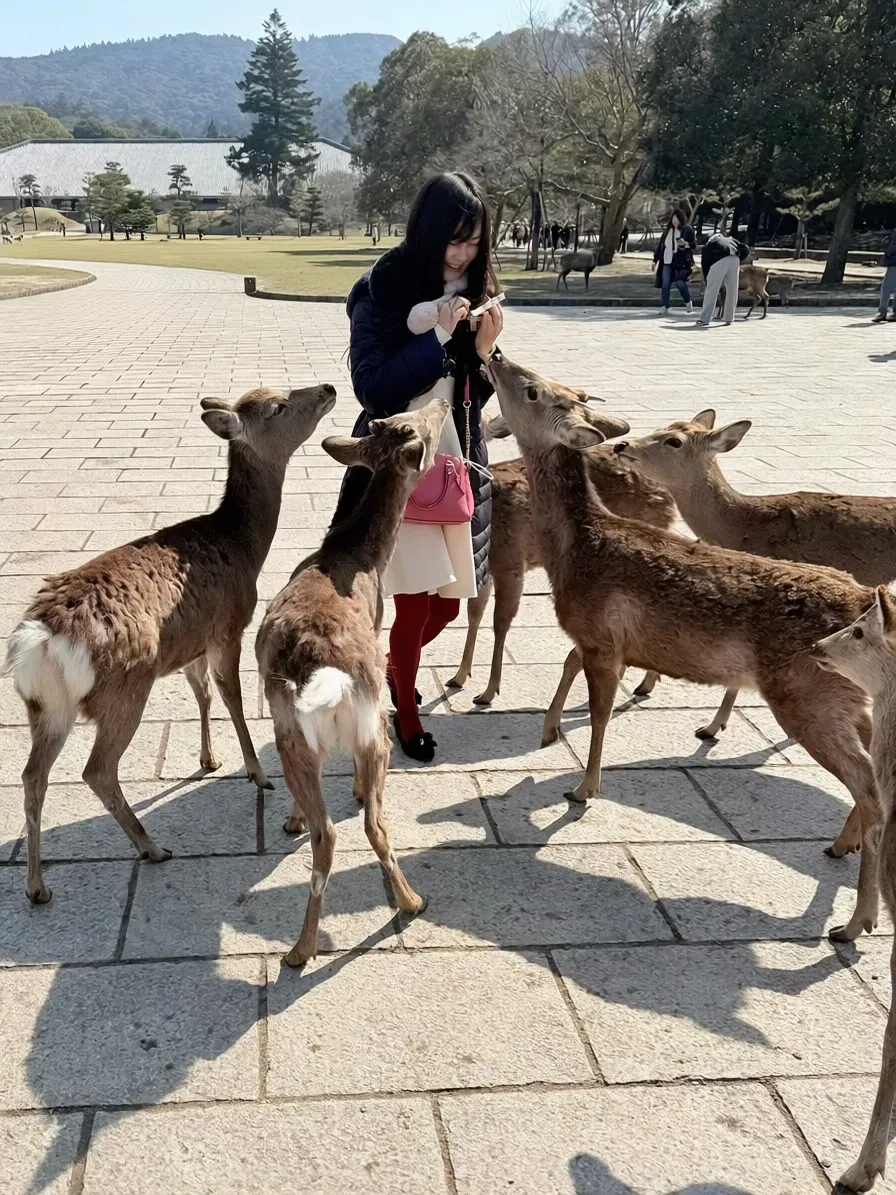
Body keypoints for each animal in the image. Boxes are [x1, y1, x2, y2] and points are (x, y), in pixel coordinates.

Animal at [3, 383, 337, 906]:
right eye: (278, 406)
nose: (328, 388)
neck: (246, 547)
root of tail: (38, 640)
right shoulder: (228, 627)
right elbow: (232, 697)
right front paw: (257, 774)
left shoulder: (190, 645)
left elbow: (202, 694)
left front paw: (208, 759)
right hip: (123, 691)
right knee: (96, 770)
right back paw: (151, 847)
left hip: (47, 707)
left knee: (32, 776)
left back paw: (38, 886)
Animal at [255, 399, 448, 968]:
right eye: (423, 423)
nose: (444, 401)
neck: (355, 558)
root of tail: (329, 678)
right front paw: (355, 793)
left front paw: (291, 819)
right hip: (370, 726)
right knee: (361, 827)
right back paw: (405, 903)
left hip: (295, 732)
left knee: (330, 829)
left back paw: (302, 946)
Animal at [448, 412, 676, 707]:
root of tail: (668, 495)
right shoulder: (485, 563)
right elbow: (474, 612)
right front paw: (460, 676)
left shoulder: (512, 561)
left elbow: (501, 622)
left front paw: (488, 692)